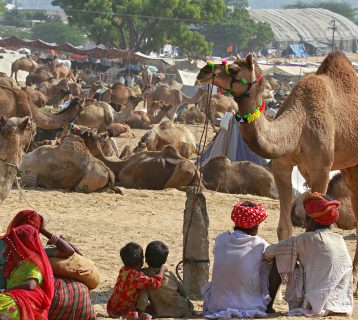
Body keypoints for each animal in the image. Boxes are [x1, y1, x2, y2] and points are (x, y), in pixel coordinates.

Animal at [197, 52, 358, 296]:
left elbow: (315, 228)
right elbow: (284, 228)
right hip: (350, 166)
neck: (299, 124)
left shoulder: (321, 170)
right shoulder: (282, 167)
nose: (203, 71)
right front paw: (283, 285)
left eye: (234, 69)